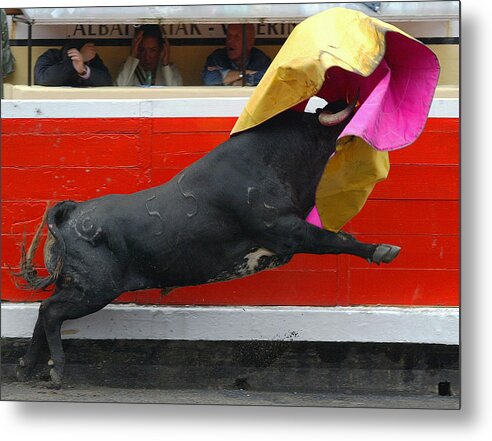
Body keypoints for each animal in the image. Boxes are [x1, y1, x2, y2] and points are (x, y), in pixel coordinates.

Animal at [14, 99, 400, 384]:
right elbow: (335, 239)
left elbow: (337, 237)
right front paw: (383, 250)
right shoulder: (286, 231)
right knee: (51, 312)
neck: (272, 159)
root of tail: (72, 213)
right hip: (93, 289)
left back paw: (27, 367)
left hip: (77, 286)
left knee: (43, 310)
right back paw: (56, 370)